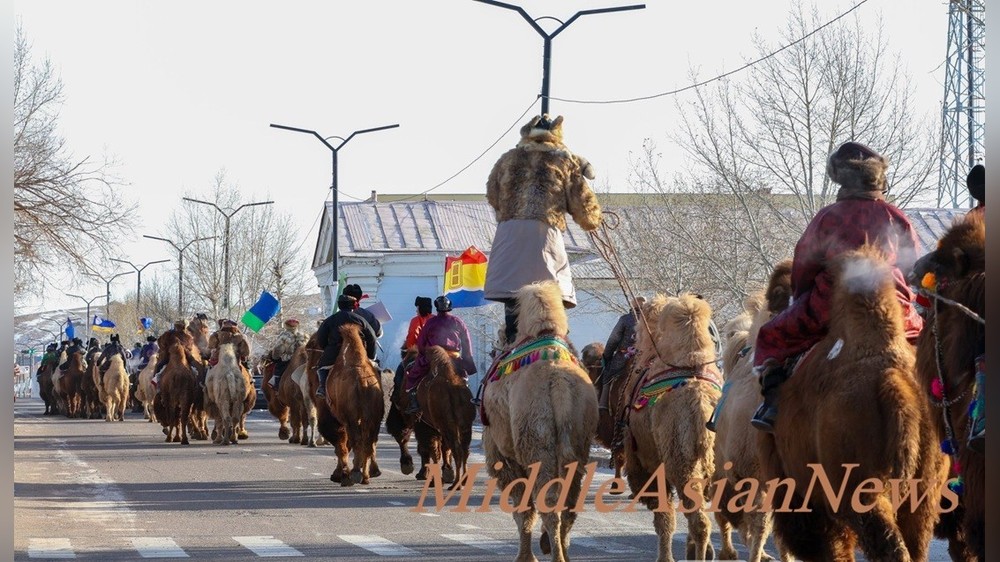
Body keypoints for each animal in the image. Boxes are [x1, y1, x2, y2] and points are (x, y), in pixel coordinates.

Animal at [482, 281, 597, 562]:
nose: (492, 349)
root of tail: (558, 383)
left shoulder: (505, 458)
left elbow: (522, 509)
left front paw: (525, 556)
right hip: (577, 442)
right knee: (568, 501)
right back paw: (561, 549)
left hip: (536, 443)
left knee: (548, 502)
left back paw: (555, 554)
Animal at [624, 293, 722, 562]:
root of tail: (701, 405)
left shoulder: (651, 461)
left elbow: (664, 518)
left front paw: (666, 557)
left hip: (680, 459)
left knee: (698, 520)